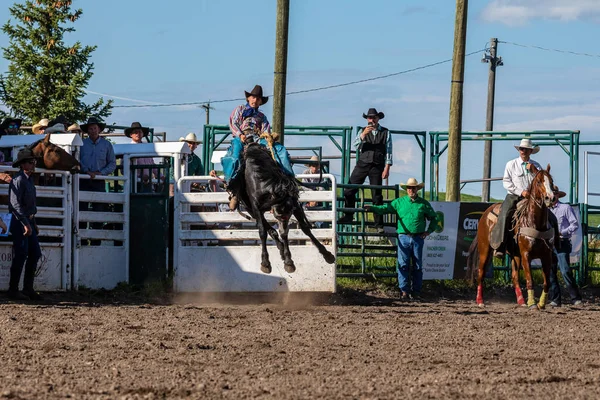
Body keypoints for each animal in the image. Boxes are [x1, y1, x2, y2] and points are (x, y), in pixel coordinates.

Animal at [231, 141, 338, 276]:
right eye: (278, 214)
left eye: (289, 213)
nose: (283, 226)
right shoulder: (256, 208)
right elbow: (262, 232)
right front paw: (265, 263)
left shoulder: (295, 205)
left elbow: (304, 228)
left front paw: (326, 255)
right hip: (250, 209)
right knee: (269, 230)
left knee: (274, 231)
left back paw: (282, 250)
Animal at [468, 166, 556, 310]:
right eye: (539, 182)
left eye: (551, 181)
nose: (550, 198)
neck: (535, 223)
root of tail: (485, 214)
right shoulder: (526, 255)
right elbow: (530, 280)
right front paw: (532, 304)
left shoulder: (546, 255)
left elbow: (547, 282)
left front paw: (541, 304)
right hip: (485, 249)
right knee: (480, 272)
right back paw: (480, 301)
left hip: (515, 255)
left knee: (514, 277)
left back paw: (521, 301)